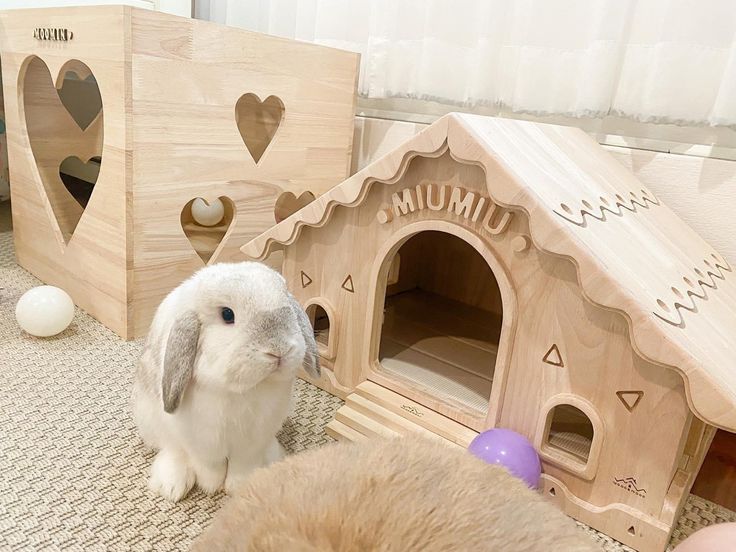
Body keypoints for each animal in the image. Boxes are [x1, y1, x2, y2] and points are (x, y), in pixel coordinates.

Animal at [130, 262, 320, 500]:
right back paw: (172, 487)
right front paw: (211, 486)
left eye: (286, 303)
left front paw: (239, 486)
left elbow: (243, 465)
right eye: (227, 314)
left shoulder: (253, 442)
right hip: (153, 421)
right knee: (172, 449)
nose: (279, 350)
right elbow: (209, 465)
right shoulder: (203, 439)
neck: (243, 391)